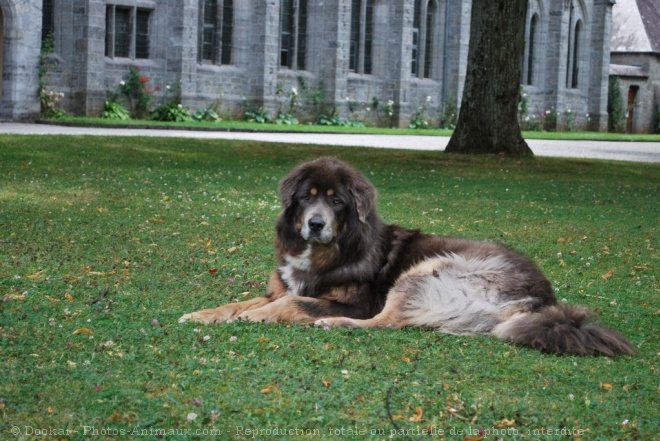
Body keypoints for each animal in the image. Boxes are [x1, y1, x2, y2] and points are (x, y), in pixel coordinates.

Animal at [179, 156, 636, 356]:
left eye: (337, 201)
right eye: (307, 197)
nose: (316, 223)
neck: (330, 251)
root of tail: (543, 299)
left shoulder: (357, 301)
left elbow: (291, 303)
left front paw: (255, 317)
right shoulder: (281, 286)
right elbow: (240, 301)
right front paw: (201, 314)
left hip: (426, 272)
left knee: (387, 323)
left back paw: (332, 324)